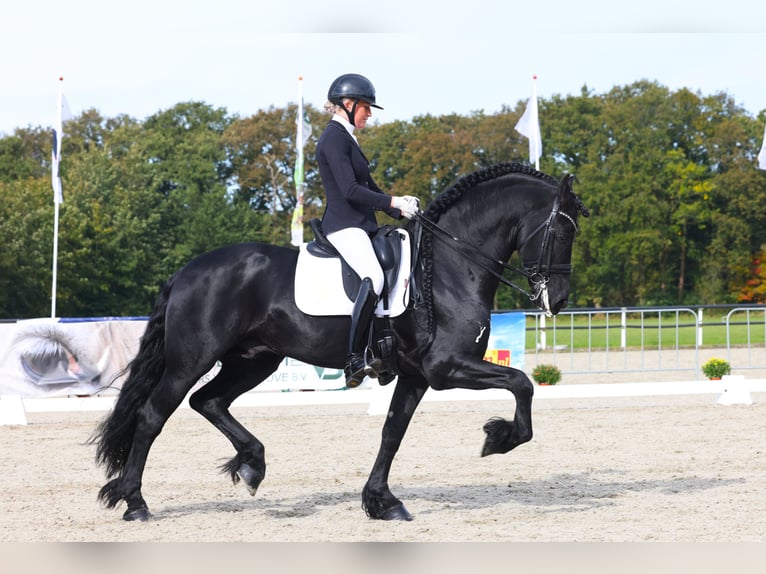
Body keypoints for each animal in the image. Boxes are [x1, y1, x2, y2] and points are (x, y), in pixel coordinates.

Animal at [93, 161, 592, 520]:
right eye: (562, 231)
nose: (558, 300)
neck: (450, 264)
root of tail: (185, 272)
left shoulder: (416, 374)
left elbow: (392, 432)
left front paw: (381, 501)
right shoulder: (445, 367)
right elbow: (523, 383)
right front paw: (499, 438)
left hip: (254, 360)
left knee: (209, 401)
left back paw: (252, 464)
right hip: (191, 360)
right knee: (154, 415)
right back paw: (136, 504)